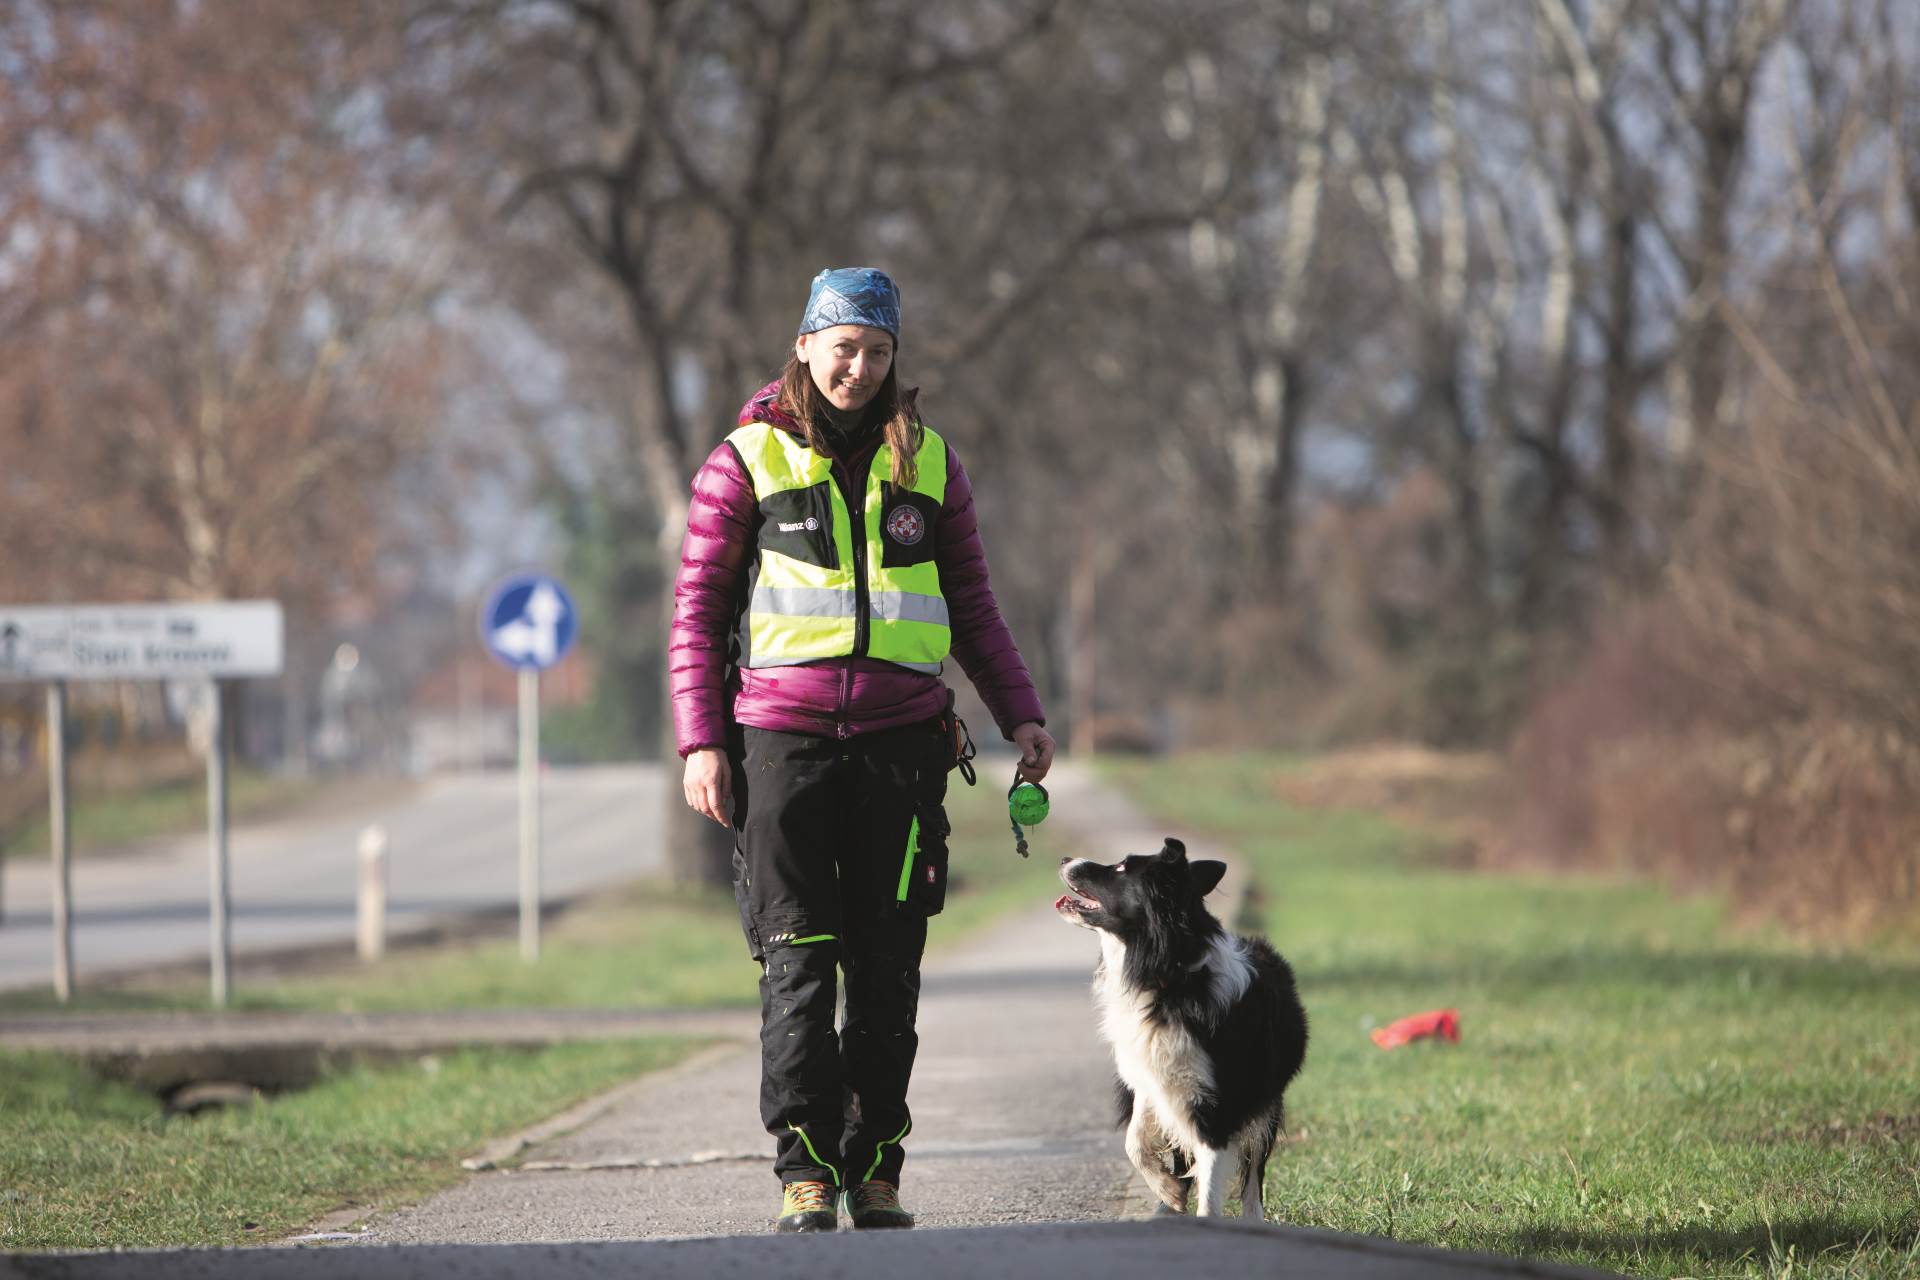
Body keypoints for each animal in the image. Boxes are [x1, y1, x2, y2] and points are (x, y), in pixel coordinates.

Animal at [1059, 840, 1313, 1220]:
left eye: (1120, 868)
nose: (1064, 858)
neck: (1169, 980)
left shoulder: (1218, 1104)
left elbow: (1211, 1185)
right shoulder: (1153, 1077)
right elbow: (1134, 1141)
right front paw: (1170, 1191)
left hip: (1265, 1100)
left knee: (1254, 1170)